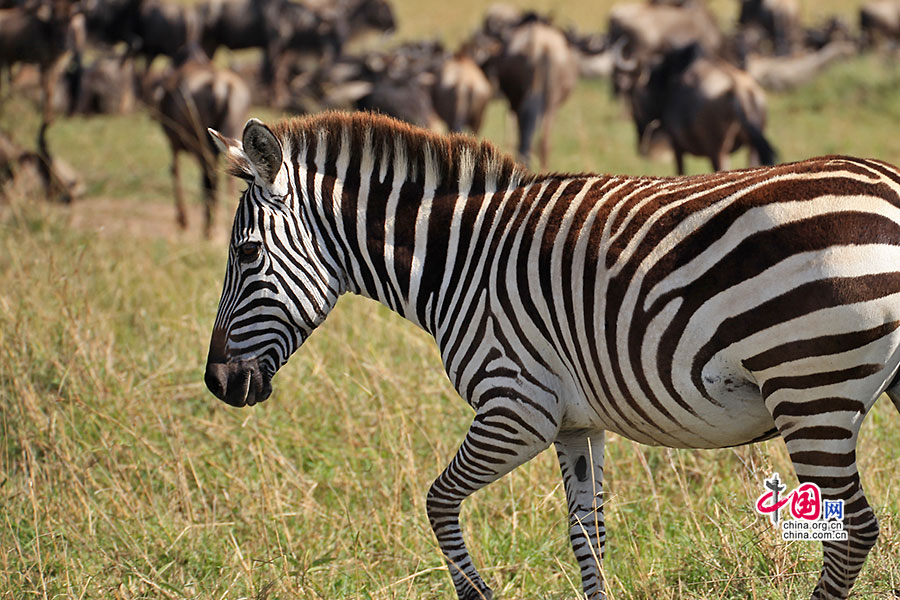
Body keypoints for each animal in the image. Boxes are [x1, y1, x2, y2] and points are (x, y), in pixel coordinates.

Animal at [204, 112, 900, 600]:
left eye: (245, 255)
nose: (217, 384)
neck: (462, 262)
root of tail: (887, 186)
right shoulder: (576, 424)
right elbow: (586, 535)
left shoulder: (517, 409)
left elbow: (436, 500)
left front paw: (477, 593)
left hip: (813, 389)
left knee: (854, 531)